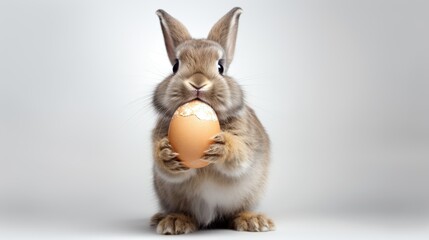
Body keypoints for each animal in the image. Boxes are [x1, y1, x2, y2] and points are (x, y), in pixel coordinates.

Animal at [149, 7, 272, 234]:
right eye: (175, 66)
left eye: (220, 67)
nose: (198, 83)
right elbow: (168, 170)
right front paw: (166, 154)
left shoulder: (247, 141)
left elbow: (239, 156)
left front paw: (221, 146)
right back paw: (173, 221)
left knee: (237, 211)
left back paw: (253, 221)